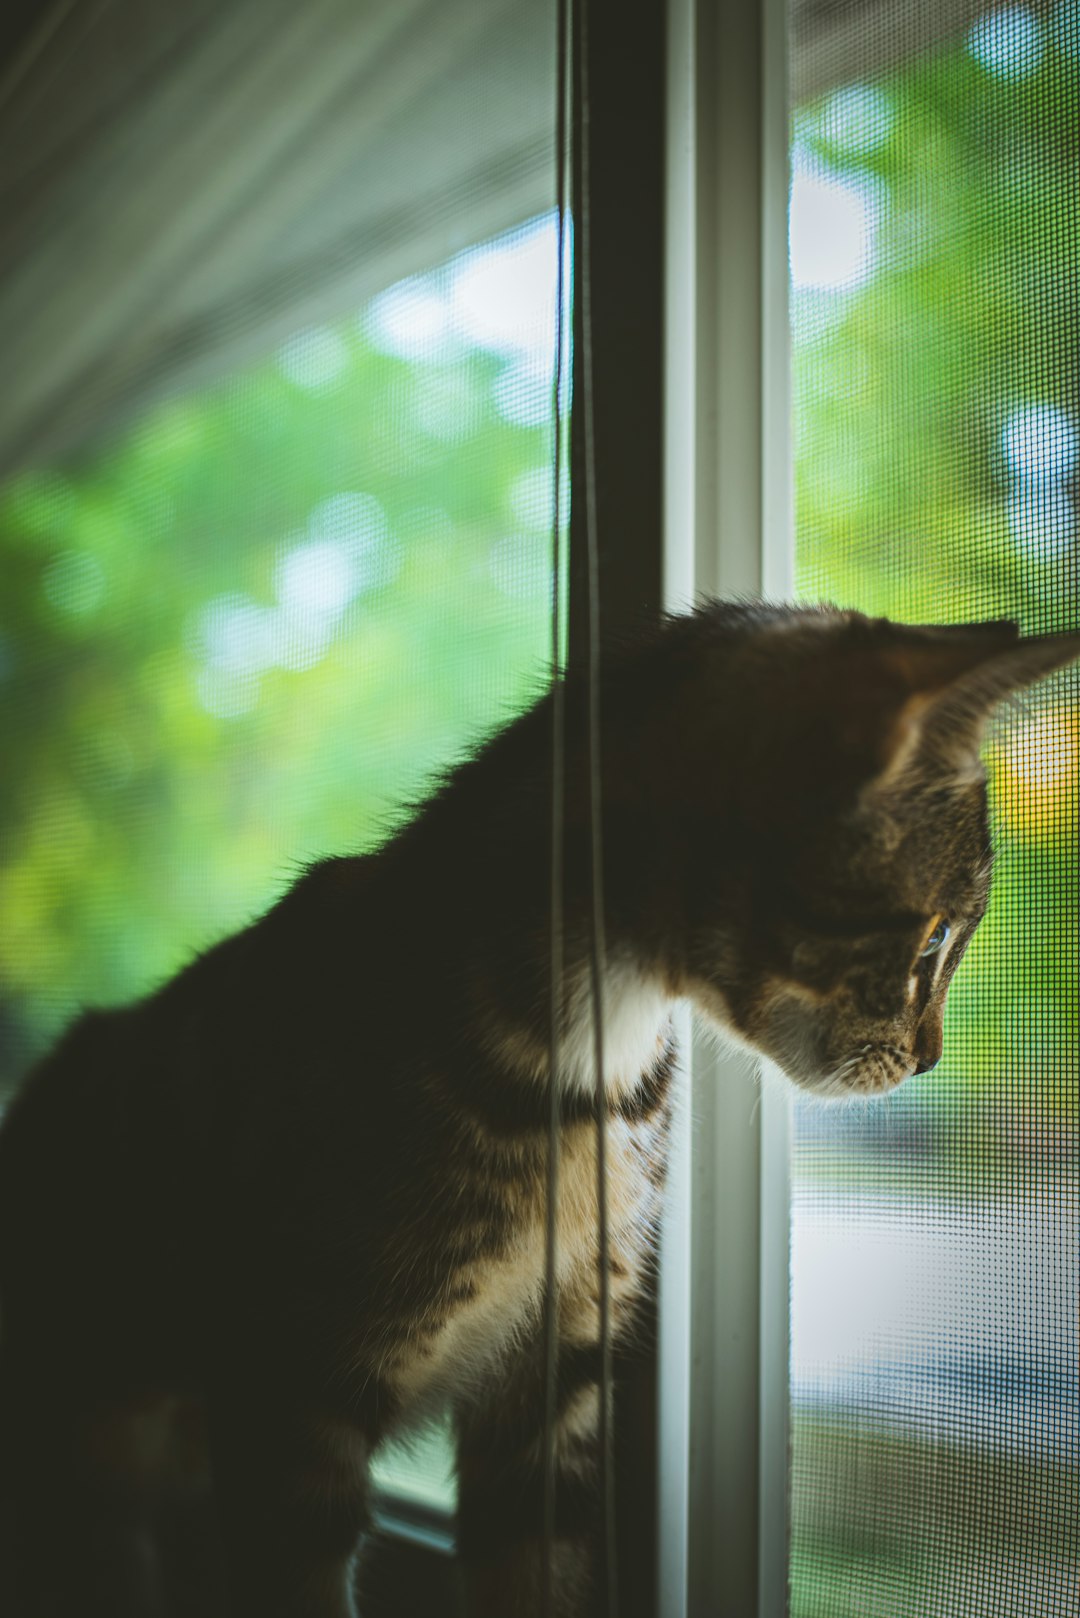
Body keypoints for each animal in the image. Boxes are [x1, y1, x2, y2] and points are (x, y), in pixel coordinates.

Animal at [2, 608, 1080, 1618]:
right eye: (934, 936)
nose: (931, 1058)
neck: (589, 1082)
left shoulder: (558, 1384)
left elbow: (539, 1574)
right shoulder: (292, 1395)